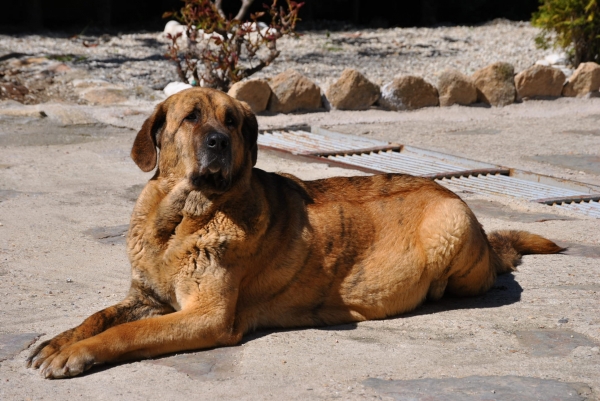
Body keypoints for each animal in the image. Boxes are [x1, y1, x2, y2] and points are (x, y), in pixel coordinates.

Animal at [27, 88, 564, 378]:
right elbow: (100, 316)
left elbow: (127, 332)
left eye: (233, 122)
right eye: (191, 118)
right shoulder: (146, 296)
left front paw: (75, 354)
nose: (219, 142)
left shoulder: (206, 316)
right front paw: (59, 341)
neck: (180, 218)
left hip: (448, 228)